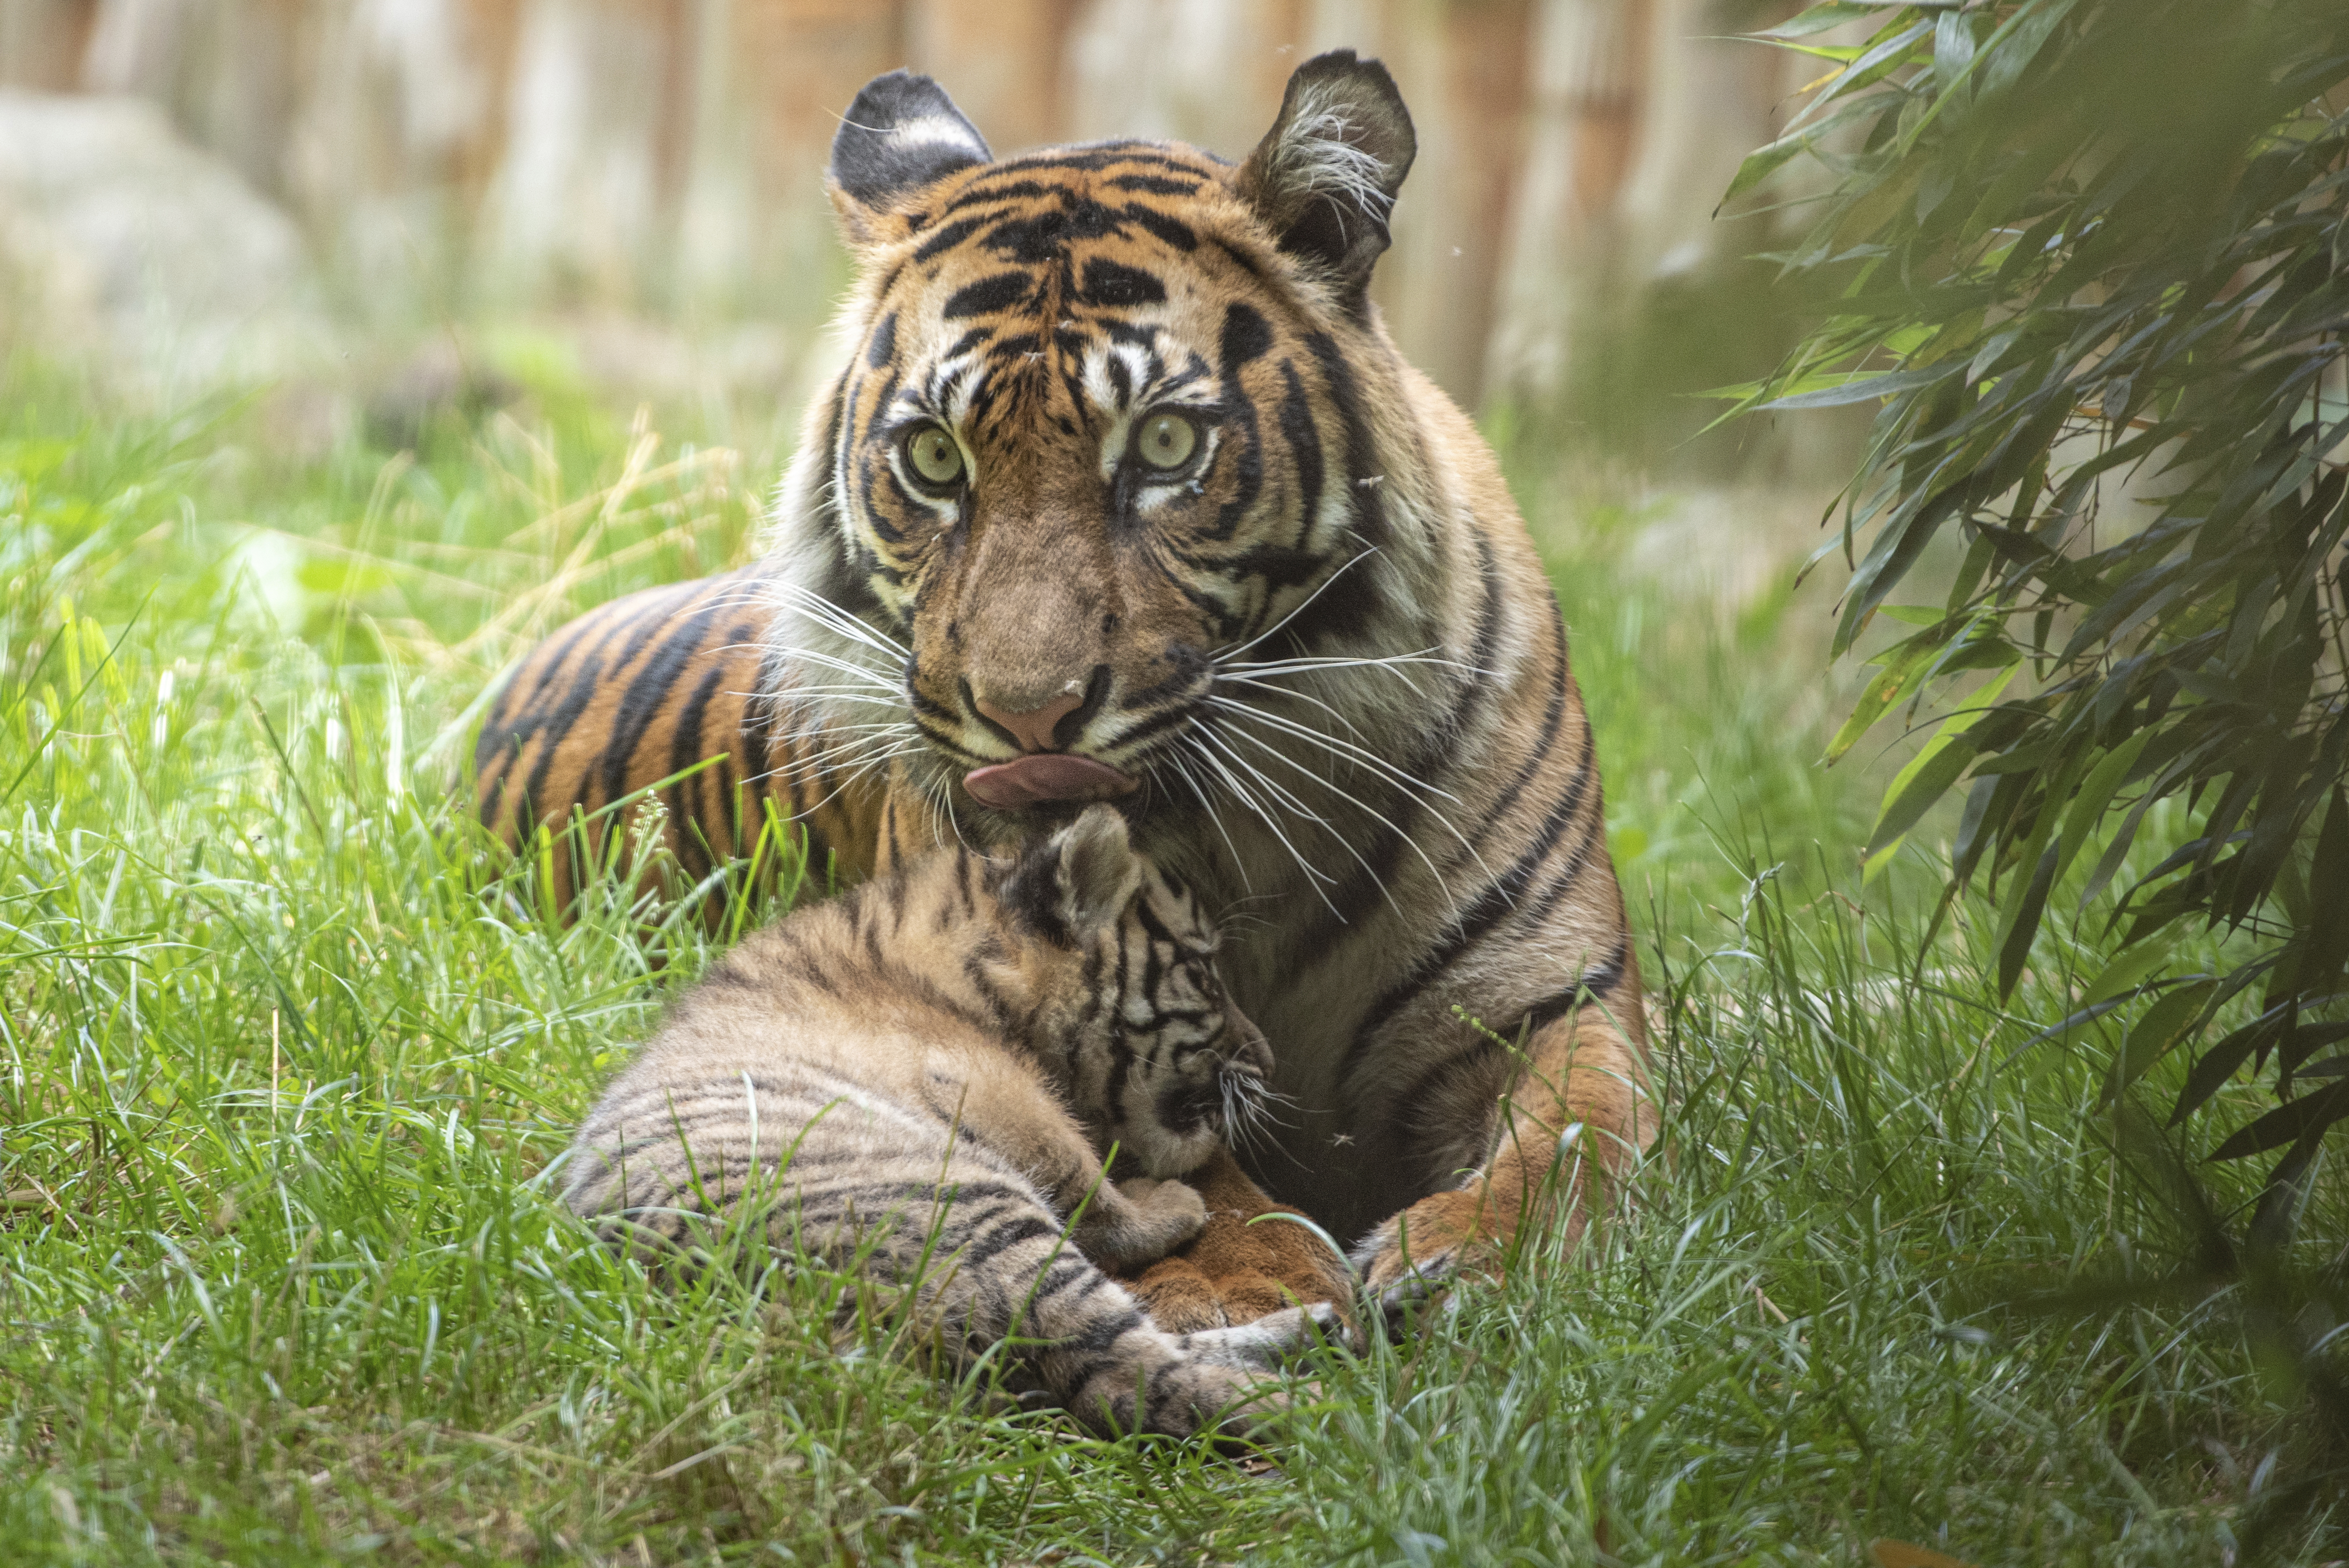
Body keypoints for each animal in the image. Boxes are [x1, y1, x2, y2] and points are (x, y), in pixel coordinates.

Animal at [472, 49, 1653, 1326]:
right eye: (934, 458)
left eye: (1167, 447)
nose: (1026, 712)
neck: (1244, 840)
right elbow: (1156, 1129)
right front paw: (1258, 1275)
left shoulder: (1556, 998)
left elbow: (1584, 1134)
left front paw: (1474, 1259)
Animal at [545, 804, 1325, 1438]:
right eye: (1206, 972)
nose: (1270, 1061)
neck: (970, 974)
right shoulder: (990, 1085)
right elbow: (1086, 1184)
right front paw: (1169, 1199)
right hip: (974, 1210)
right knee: (1133, 1374)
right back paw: (1322, 1409)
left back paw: (1319, 1331)